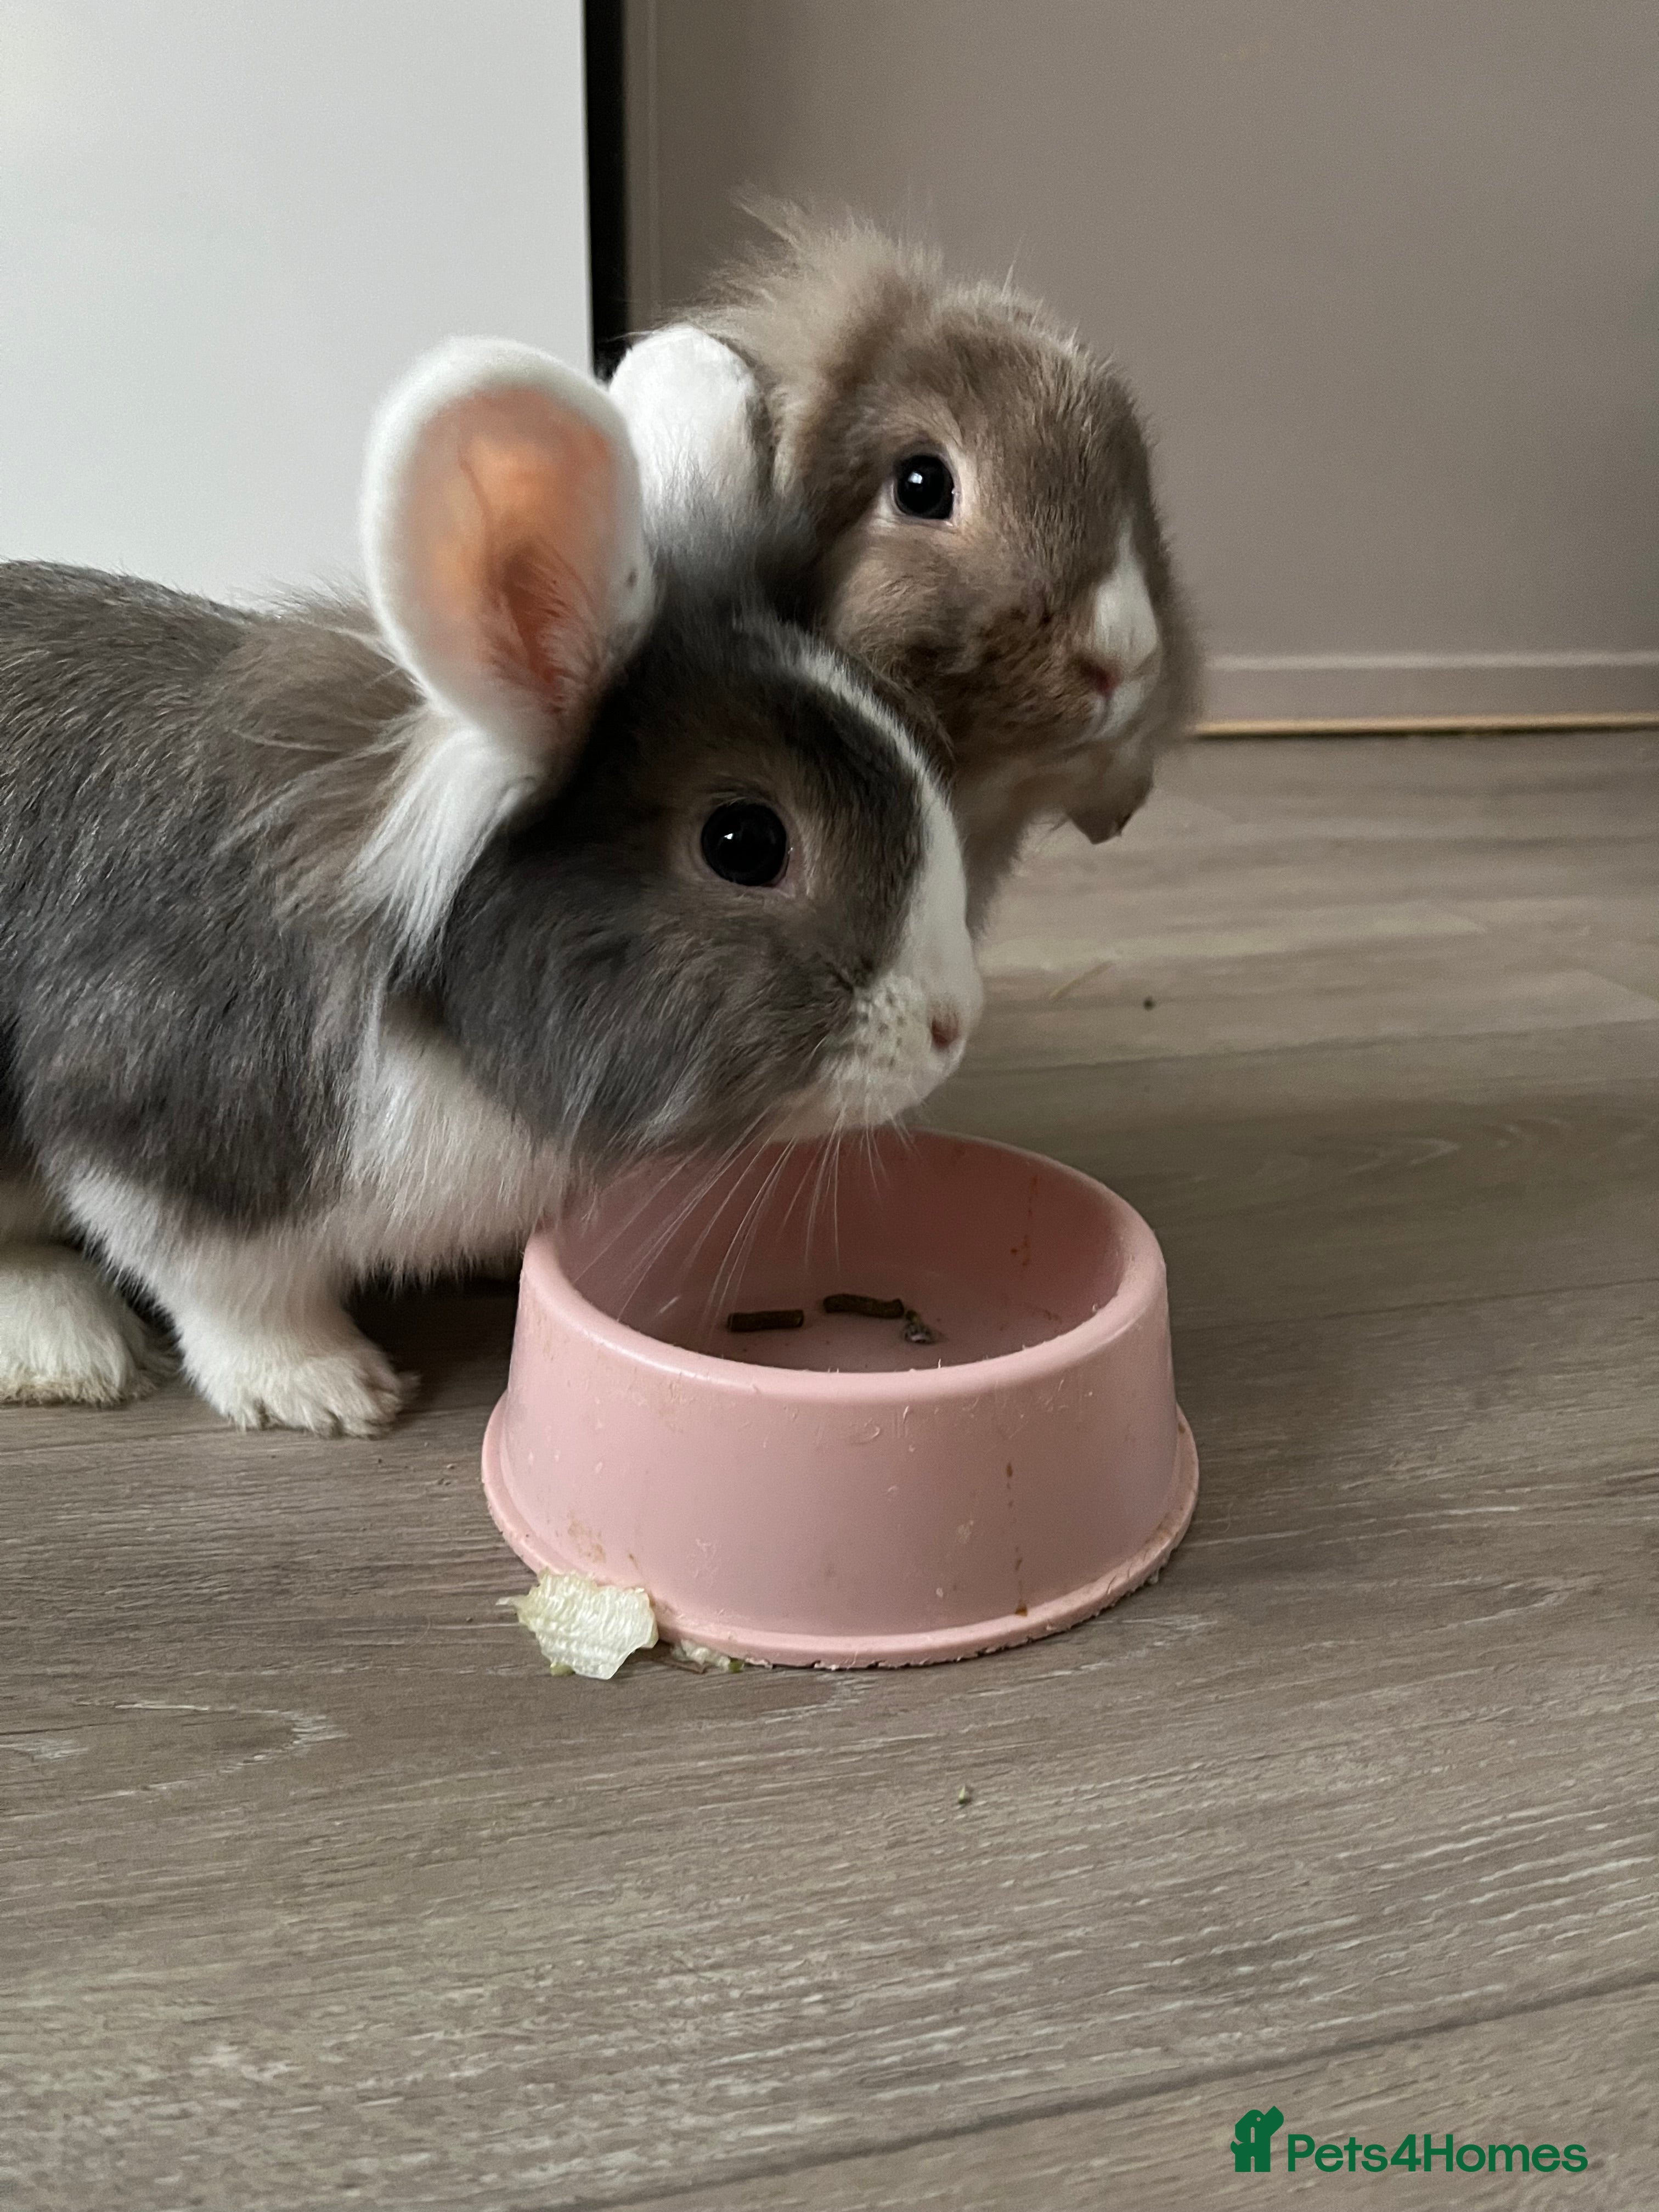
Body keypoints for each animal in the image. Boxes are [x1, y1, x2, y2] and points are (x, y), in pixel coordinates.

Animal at [0, 337, 981, 1434]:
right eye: (744, 841)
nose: (952, 1025)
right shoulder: (161, 1127)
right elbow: (233, 1291)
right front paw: (330, 1388)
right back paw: (65, 1344)